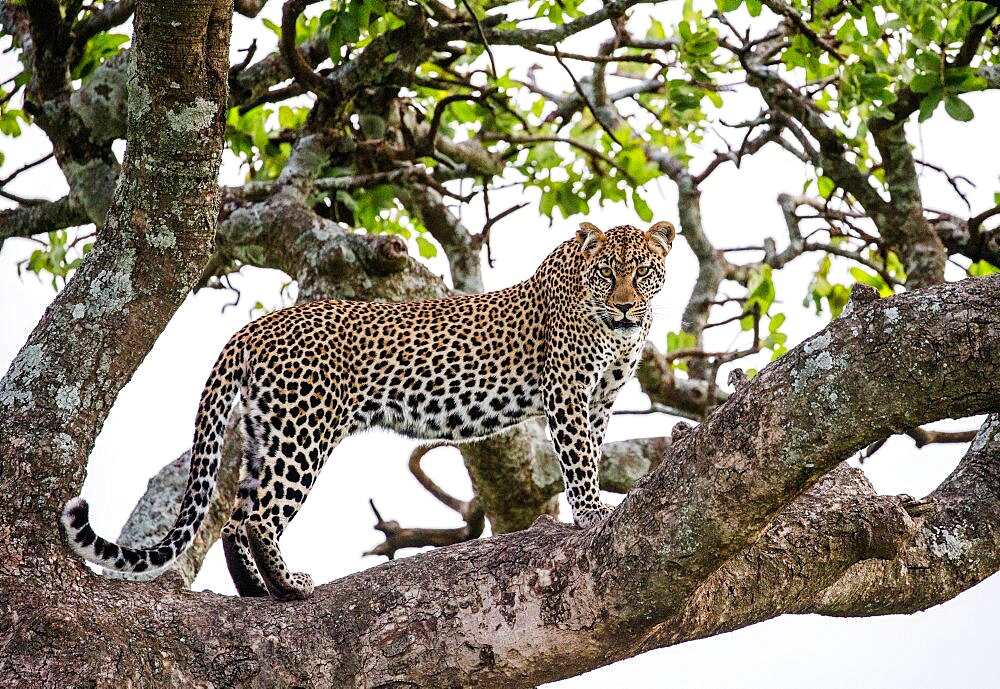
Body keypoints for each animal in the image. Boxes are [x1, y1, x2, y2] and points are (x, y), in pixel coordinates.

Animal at [60, 220, 672, 596]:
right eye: (606, 273)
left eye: (641, 272)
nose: (625, 307)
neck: (619, 334)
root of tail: (255, 326)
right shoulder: (568, 396)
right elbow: (580, 463)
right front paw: (593, 516)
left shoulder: (600, 402)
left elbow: (591, 453)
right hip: (303, 433)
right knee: (257, 517)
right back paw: (289, 587)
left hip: (266, 433)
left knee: (235, 514)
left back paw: (258, 593)